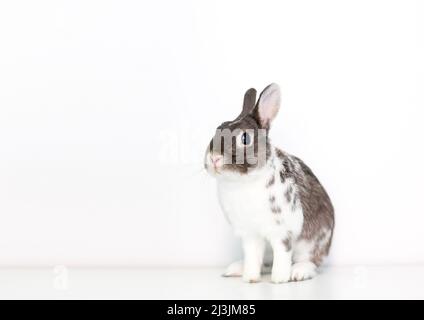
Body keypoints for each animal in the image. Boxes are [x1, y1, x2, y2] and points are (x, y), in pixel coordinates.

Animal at [205, 83, 334, 282]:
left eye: (245, 138)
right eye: (218, 128)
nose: (214, 158)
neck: (243, 182)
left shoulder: (282, 233)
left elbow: (282, 255)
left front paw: (279, 279)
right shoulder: (250, 235)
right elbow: (252, 257)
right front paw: (250, 278)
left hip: (312, 244)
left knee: (311, 261)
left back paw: (298, 272)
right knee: (264, 262)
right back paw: (236, 269)